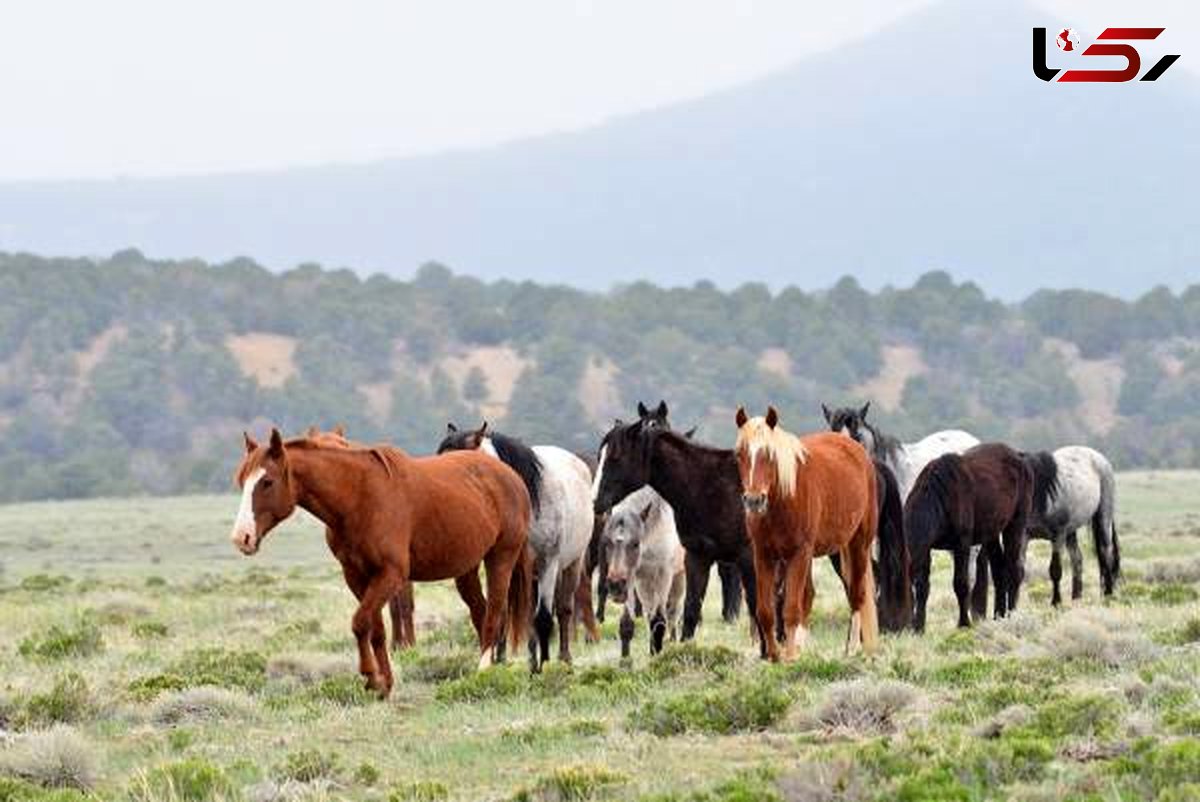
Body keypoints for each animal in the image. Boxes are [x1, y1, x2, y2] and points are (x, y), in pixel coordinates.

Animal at [231, 425, 532, 696]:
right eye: (242, 480)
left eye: (267, 482)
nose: (241, 537)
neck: (359, 499)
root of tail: (510, 476)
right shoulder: (357, 576)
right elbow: (375, 628)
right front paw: (384, 683)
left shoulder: (391, 574)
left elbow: (360, 622)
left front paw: (371, 676)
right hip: (467, 569)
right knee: (480, 612)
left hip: (501, 558)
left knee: (495, 613)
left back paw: (483, 670)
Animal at [439, 422, 592, 672]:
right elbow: (502, 613)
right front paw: (499, 661)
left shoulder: (548, 563)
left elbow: (543, 618)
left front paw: (543, 667)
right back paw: (531, 660)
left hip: (571, 564)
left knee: (563, 609)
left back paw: (563, 658)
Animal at [729, 403, 883, 662]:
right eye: (740, 454)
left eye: (770, 454)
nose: (754, 501)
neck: (784, 501)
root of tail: (857, 451)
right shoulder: (763, 555)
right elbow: (766, 610)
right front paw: (774, 654)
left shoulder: (799, 553)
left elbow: (791, 608)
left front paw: (790, 656)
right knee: (811, 595)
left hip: (858, 545)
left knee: (857, 594)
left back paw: (852, 648)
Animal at [902, 444, 1036, 633]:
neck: (940, 496)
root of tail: (1019, 457)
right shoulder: (925, 549)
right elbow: (922, 587)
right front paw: (919, 627)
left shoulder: (962, 544)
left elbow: (961, 583)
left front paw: (964, 623)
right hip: (991, 533)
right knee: (999, 571)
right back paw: (998, 615)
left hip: (1016, 524)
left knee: (1014, 569)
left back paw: (1012, 614)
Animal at [974, 444, 1123, 607]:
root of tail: (1100, 458)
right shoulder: (1024, 536)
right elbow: (1019, 570)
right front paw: (1016, 604)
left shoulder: (1058, 535)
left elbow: (1055, 570)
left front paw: (1056, 601)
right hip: (1071, 531)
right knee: (1077, 559)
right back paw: (1076, 597)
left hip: (1103, 518)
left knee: (1106, 553)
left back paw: (1108, 594)